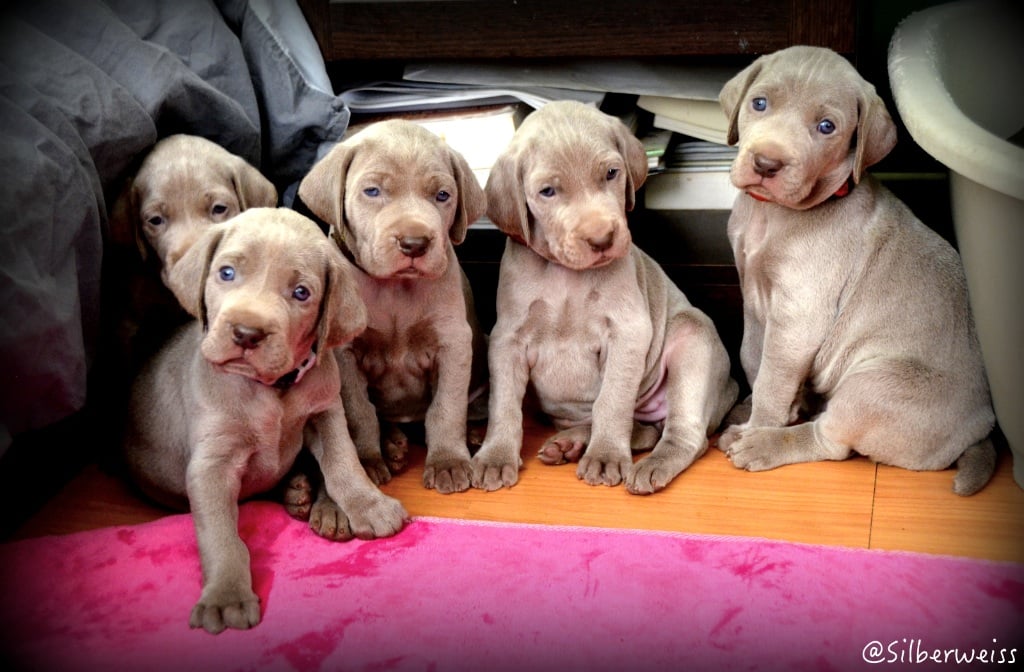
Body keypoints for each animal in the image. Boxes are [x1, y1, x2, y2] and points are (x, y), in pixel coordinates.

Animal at [121, 206, 405, 631]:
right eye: (226, 273)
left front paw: (367, 504)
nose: (246, 333)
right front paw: (226, 595)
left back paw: (322, 504)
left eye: (301, 293)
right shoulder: (211, 466)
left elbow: (344, 464)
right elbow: (220, 534)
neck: (273, 390)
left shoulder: (326, 411)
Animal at [296, 119, 487, 493]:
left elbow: (446, 407)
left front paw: (448, 461)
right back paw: (392, 444)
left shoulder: (453, 341)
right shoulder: (345, 354)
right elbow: (359, 412)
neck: (395, 290)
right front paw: (368, 460)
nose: (414, 243)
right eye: (372, 191)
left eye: (442, 195)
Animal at [471, 102, 737, 495]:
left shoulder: (627, 332)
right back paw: (567, 442)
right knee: (641, 431)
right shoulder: (507, 339)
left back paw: (644, 462)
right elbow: (503, 402)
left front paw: (606, 455)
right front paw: (495, 454)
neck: (566, 275)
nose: (602, 239)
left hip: (692, 335)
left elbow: (611, 401)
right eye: (547, 191)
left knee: (683, 435)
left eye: (612, 173)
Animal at [716, 44, 995, 491]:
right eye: (759, 103)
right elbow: (753, 359)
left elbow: (773, 377)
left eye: (826, 127)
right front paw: (757, 406)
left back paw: (766, 444)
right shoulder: (755, 299)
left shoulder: (798, 315)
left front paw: (760, 425)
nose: (766, 163)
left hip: (871, 384)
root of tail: (982, 427)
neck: (773, 216)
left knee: (831, 443)